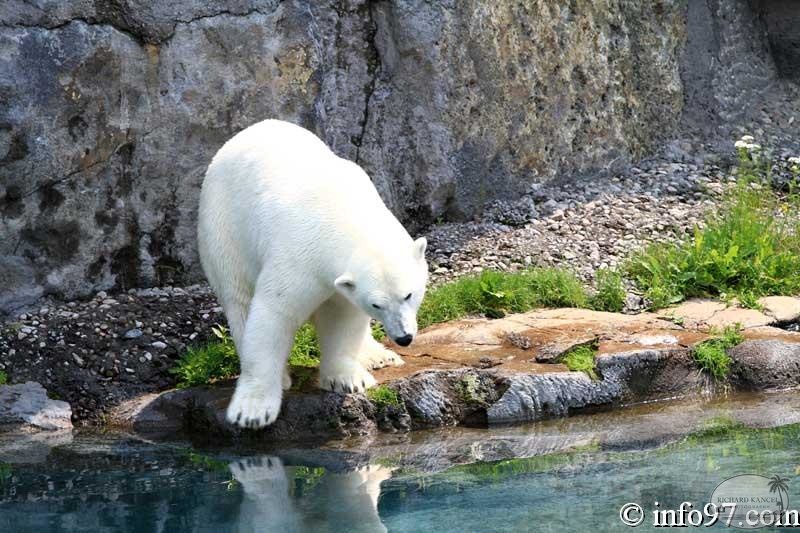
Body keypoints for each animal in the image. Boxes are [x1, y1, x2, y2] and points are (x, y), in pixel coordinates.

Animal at [198, 119, 428, 428]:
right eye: (377, 304)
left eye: (409, 295)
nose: (404, 337)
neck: (342, 212)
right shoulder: (297, 255)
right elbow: (274, 313)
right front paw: (252, 411)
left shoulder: (339, 282)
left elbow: (342, 315)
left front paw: (349, 380)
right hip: (224, 232)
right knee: (239, 300)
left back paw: (377, 356)